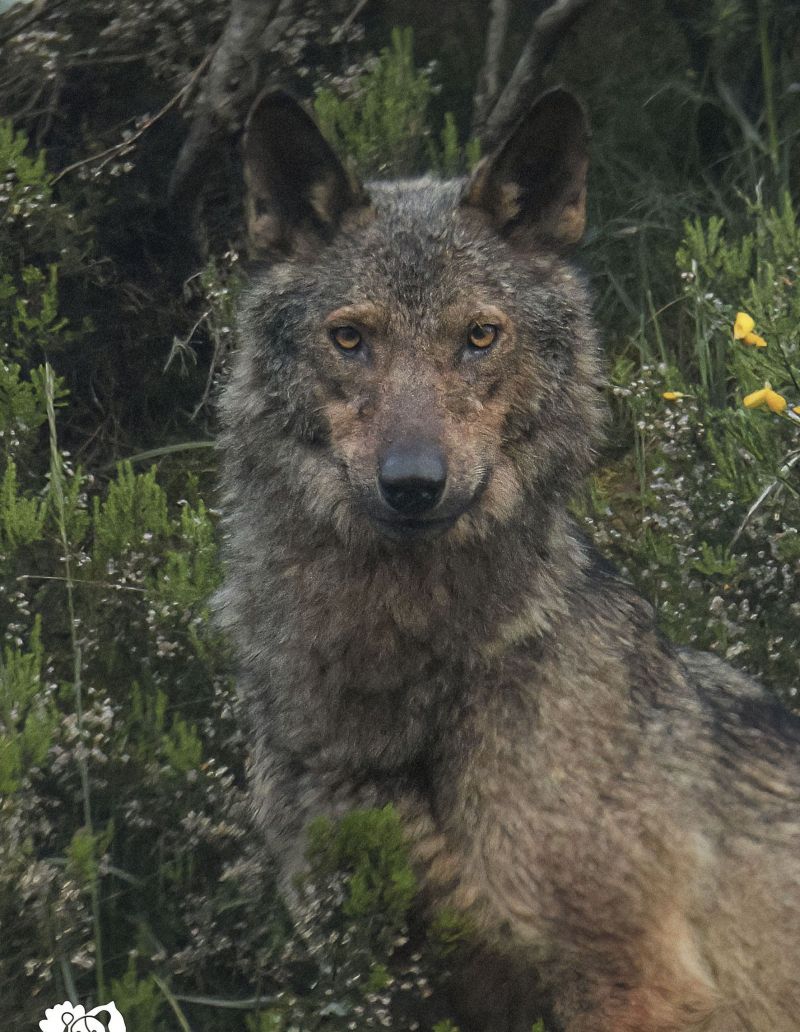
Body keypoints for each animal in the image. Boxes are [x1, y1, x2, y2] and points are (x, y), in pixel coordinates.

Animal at [217, 87, 800, 1031]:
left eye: (481, 336)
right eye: (350, 339)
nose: (413, 484)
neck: (396, 694)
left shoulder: (633, 984)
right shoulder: (376, 976)